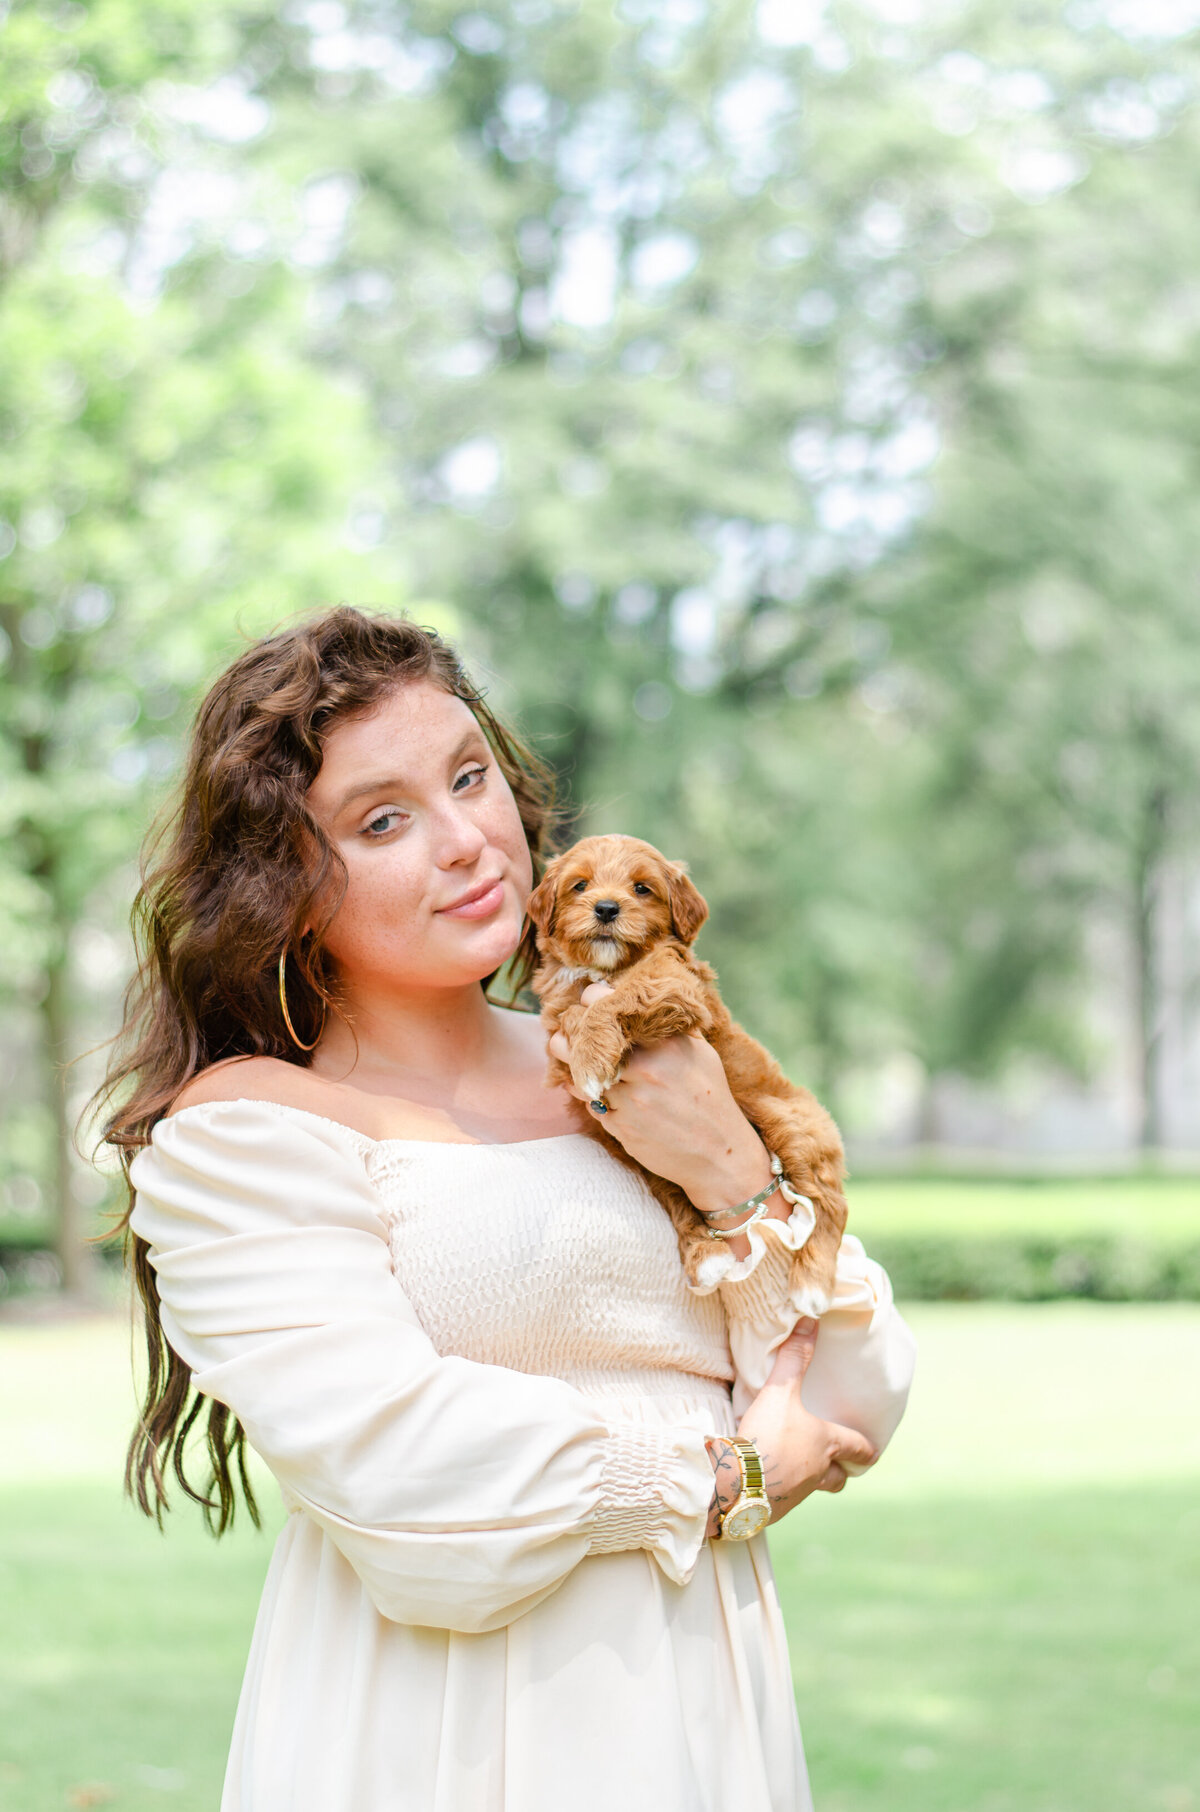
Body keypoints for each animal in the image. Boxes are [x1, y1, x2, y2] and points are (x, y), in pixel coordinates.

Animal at [532, 829, 851, 1311]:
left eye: (641, 888)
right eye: (580, 885)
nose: (606, 908)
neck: (606, 967)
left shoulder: (674, 985)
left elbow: (618, 997)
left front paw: (593, 1055)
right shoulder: (557, 1020)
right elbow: (571, 1013)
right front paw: (590, 1054)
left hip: (791, 1123)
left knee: (829, 1203)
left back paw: (810, 1285)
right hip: (643, 1160)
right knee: (677, 1198)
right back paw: (707, 1258)